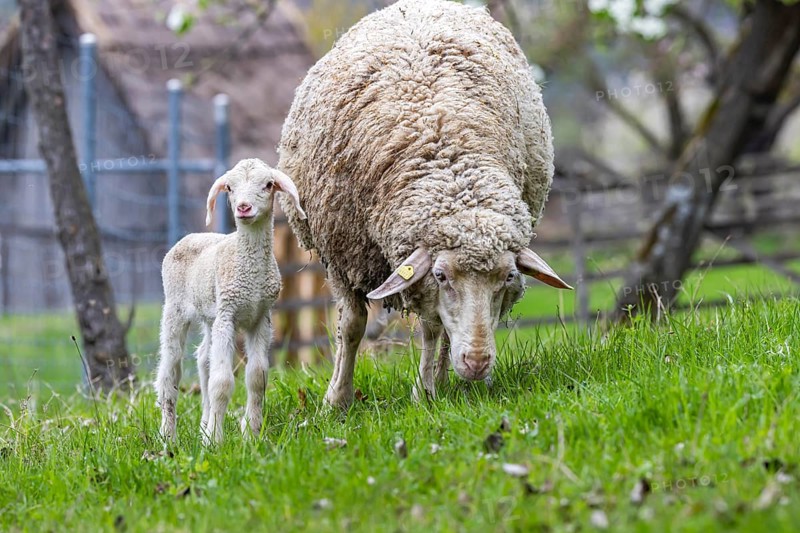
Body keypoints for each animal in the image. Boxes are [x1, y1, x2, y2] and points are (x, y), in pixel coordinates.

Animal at [155, 158, 305, 444]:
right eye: (229, 187)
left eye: (268, 184)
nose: (243, 207)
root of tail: (190, 236)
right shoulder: (228, 315)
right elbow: (222, 382)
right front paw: (215, 440)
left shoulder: (261, 317)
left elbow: (257, 378)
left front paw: (252, 433)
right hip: (174, 307)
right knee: (170, 368)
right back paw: (168, 435)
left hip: (209, 315)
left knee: (203, 358)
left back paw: (203, 423)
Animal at [277, 0, 572, 409]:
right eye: (442, 275)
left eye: (508, 277)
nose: (478, 363)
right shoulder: (343, 256)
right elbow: (351, 326)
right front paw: (337, 400)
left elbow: (434, 328)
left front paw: (426, 391)